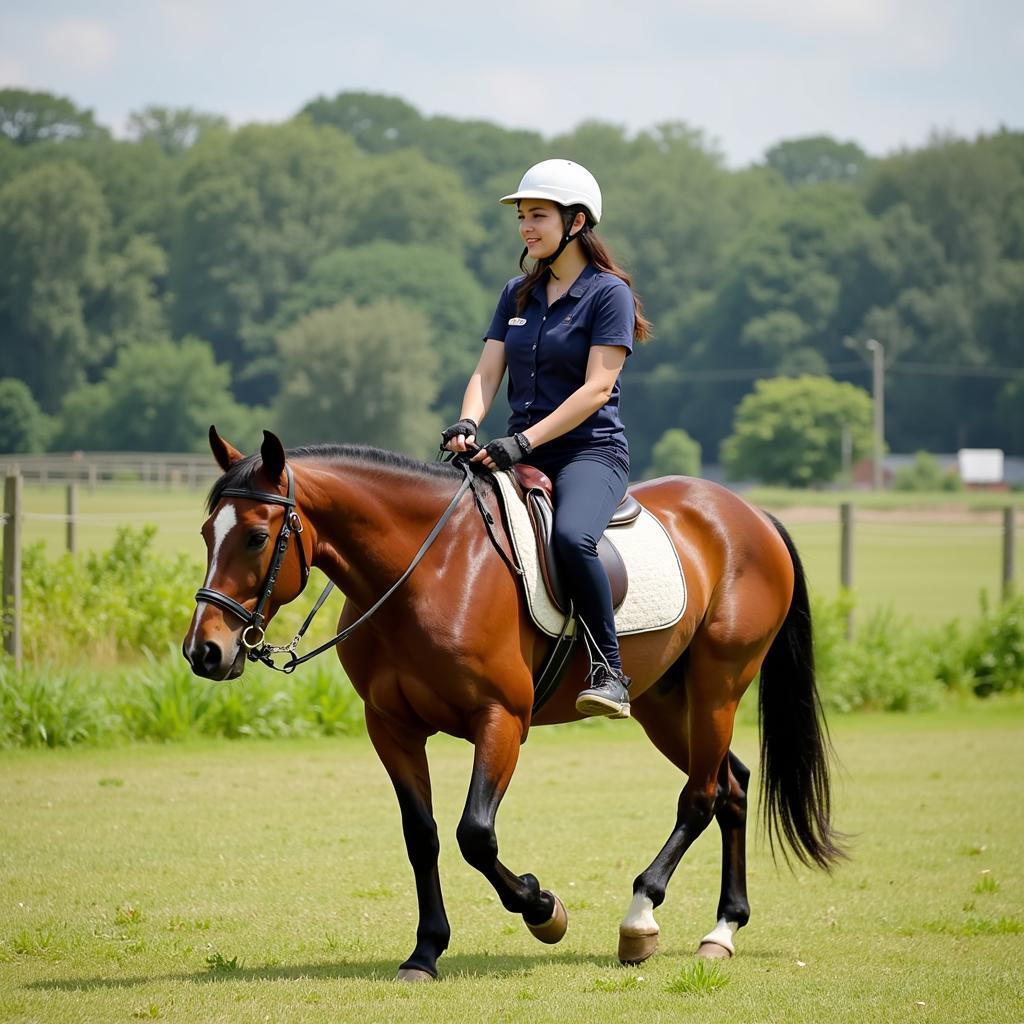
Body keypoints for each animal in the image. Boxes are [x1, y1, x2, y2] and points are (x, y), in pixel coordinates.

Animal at [182, 428, 839, 978]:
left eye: (257, 537)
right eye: (207, 533)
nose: (204, 651)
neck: (431, 569)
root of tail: (749, 513)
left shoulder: (500, 720)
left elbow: (475, 833)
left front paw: (543, 908)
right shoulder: (391, 727)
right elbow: (421, 835)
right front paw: (425, 952)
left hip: (717, 688)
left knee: (701, 797)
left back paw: (640, 918)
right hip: (663, 703)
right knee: (732, 785)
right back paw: (722, 929)